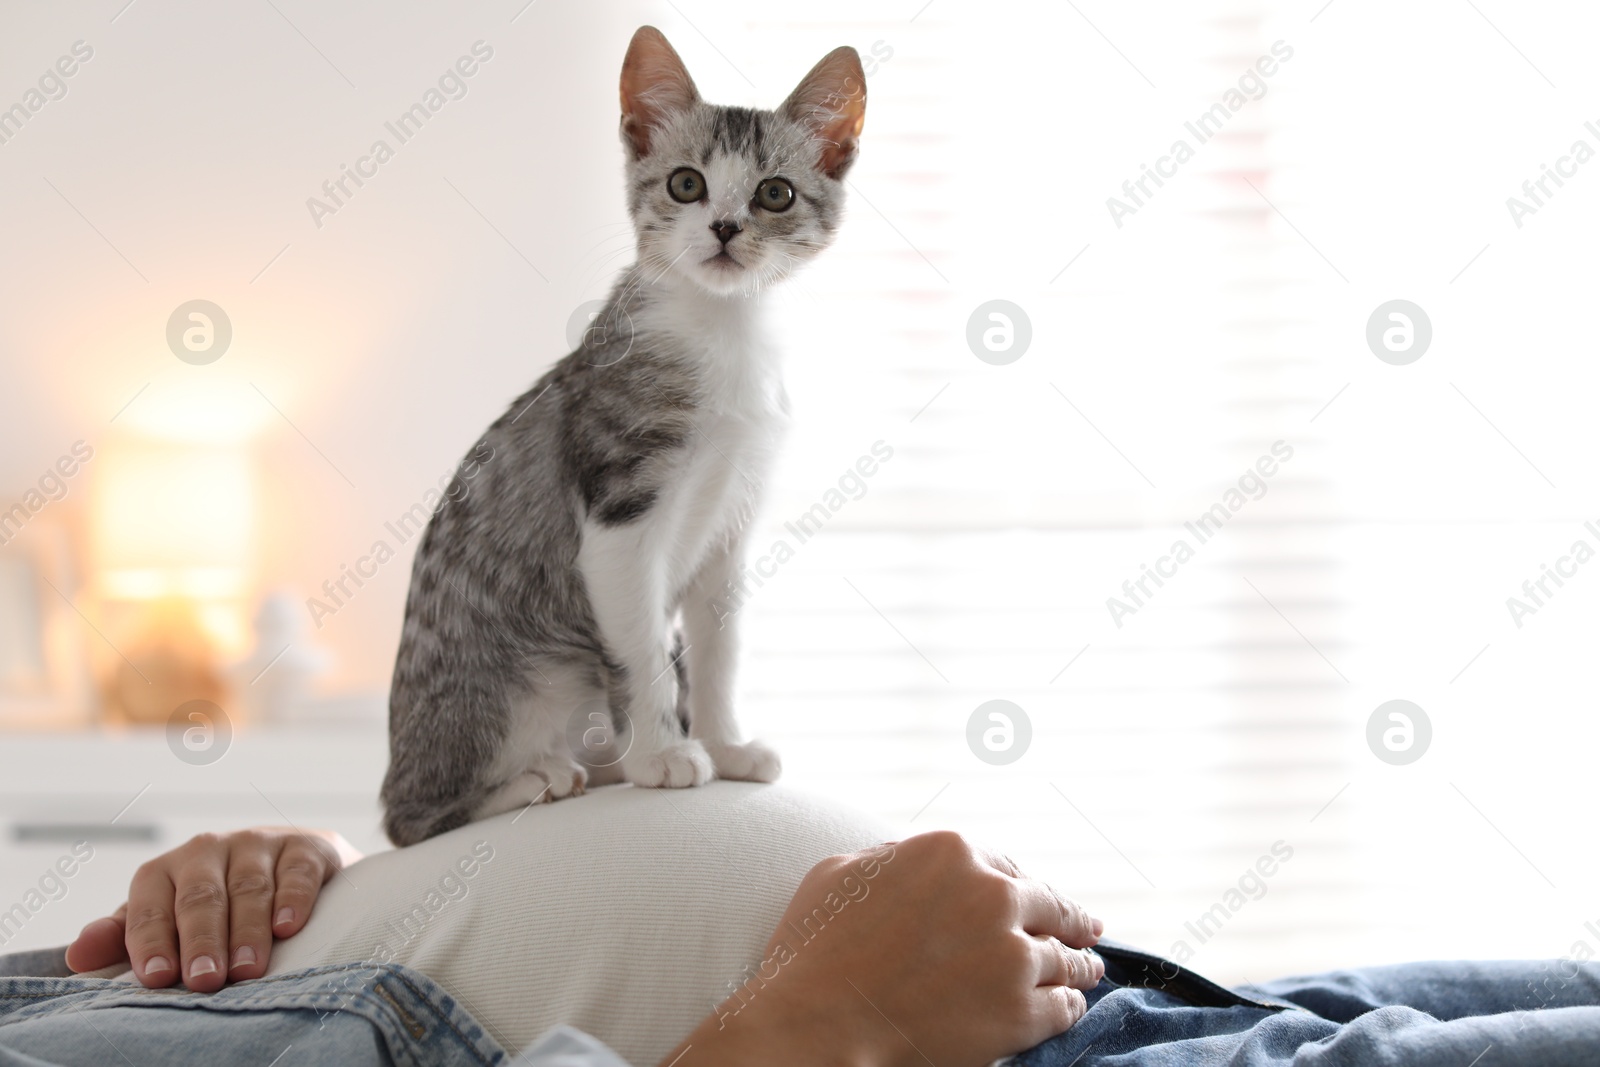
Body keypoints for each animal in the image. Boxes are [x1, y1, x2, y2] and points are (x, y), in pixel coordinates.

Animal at [380, 24, 870, 844]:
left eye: (774, 193)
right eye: (686, 185)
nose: (726, 228)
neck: (723, 335)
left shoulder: (732, 521)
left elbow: (718, 648)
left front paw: (725, 744)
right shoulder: (618, 511)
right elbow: (641, 645)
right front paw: (662, 755)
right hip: (519, 685)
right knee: (411, 819)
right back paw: (541, 777)